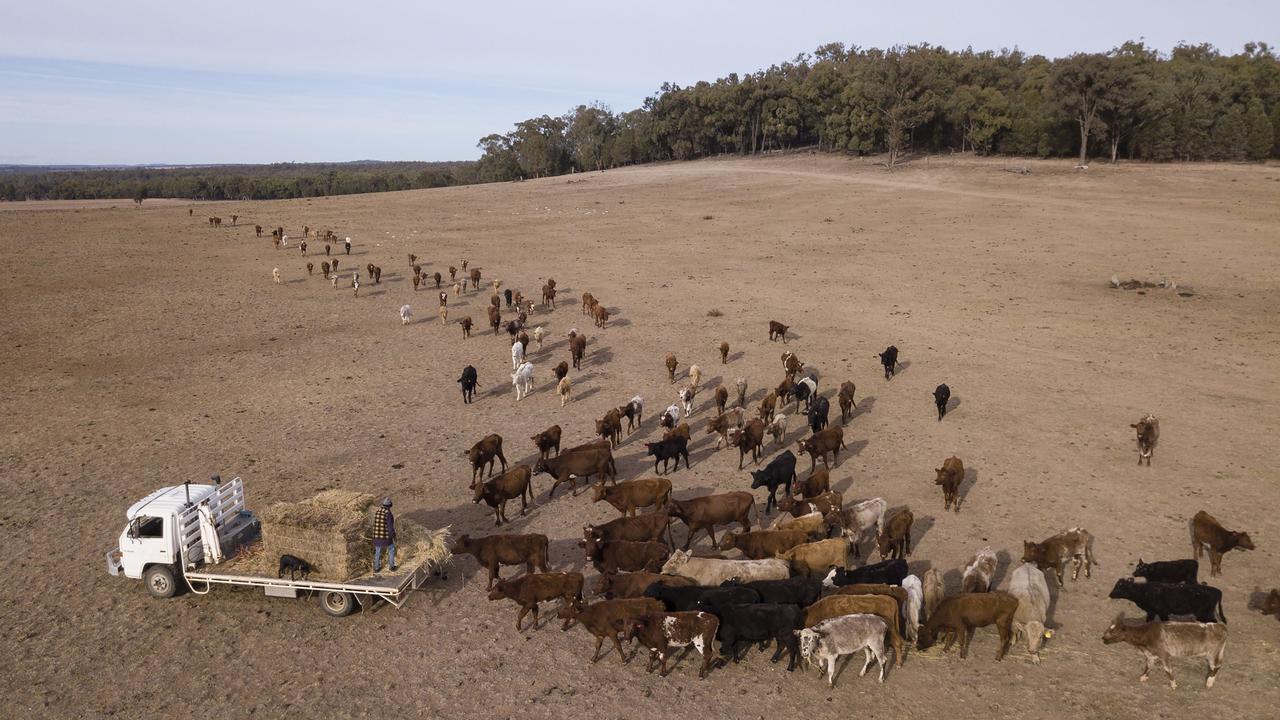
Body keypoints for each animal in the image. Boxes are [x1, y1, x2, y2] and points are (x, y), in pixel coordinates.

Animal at [1100, 614, 1228, 686]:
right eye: (1107, 629)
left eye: (1114, 632)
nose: (1103, 639)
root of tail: (1220, 626)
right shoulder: (1150, 655)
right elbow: (1148, 666)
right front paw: (1143, 677)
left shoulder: (1164, 654)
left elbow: (1168, 670)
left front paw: (1173, 685)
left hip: (1212, 653)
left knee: (1217, 666)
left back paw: (1209, 682)